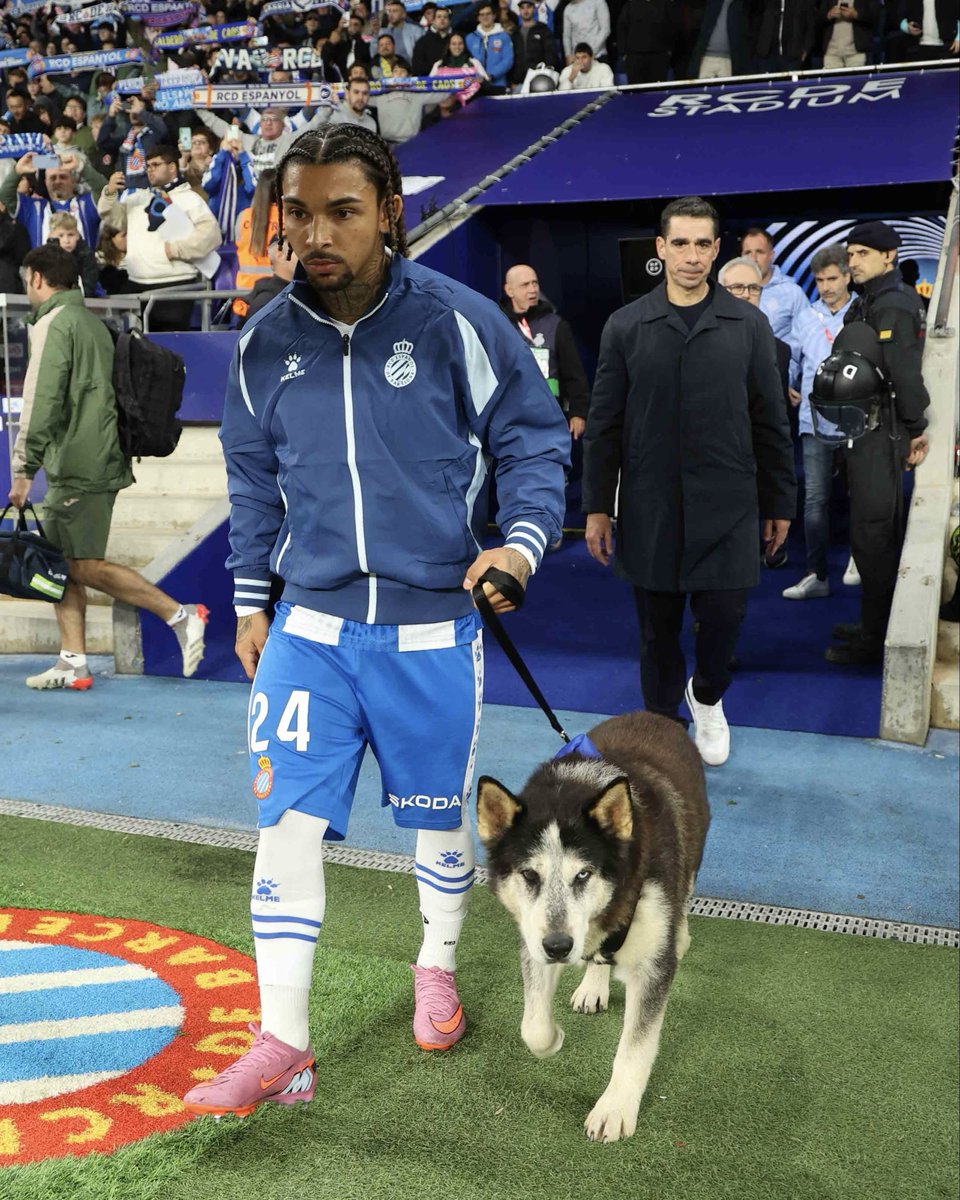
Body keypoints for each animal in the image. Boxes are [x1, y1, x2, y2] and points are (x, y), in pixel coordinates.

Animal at [476, 711, 710, 1143]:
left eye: (583, 874)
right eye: (529, 875)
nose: (558, 947)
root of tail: (653, 715)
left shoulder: (654, 964)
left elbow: (635, 1046)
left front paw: (615, 1108)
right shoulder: (534, 940)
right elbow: (532, 1026)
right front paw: (553, 1039)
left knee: (686, 887)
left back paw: (681, 935)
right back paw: (592, 984)